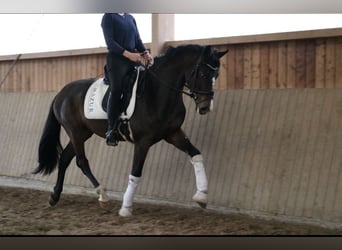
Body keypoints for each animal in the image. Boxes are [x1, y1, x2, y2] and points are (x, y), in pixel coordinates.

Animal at [33, 44, 228, 216]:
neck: (157, 92)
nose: (205, 107)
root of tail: (61, 93)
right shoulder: (143, 142)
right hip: (75, 132)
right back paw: (103, 197)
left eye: (216, 74)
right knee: (81, 162)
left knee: (65, 158)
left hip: (82, 133)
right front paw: (126, 208)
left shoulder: (173, 134)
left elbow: (196, 154)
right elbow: (136, 172)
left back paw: (54, 196)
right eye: (202, 73)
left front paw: (202, 196)